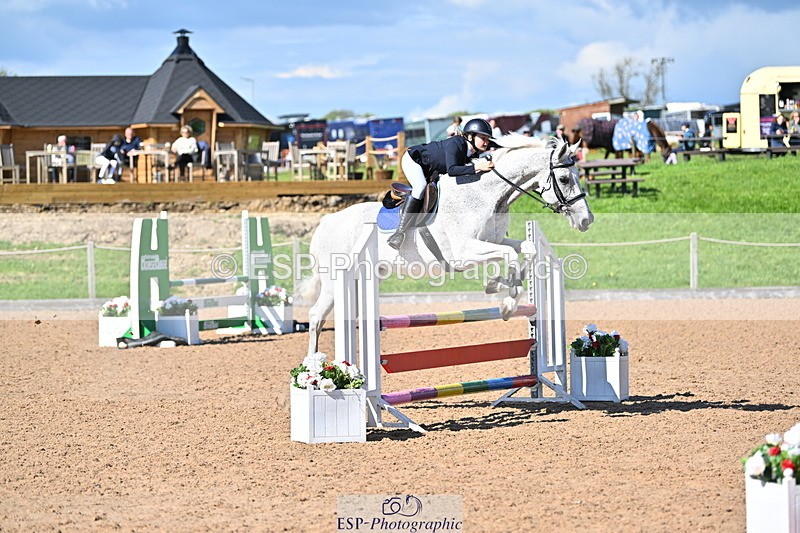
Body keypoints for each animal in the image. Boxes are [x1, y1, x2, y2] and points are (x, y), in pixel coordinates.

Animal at [298, 135, 594, 356]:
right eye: (565, 179)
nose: (586, 220)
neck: (487, 195)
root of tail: (325, 222)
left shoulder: (493, 241)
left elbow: (526, 250)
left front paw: (499, 286)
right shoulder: (463, 253)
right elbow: (509, 254)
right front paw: (507, 301)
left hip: (362, 278)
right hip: (334, 281)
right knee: (316, 316)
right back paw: (315, 366)